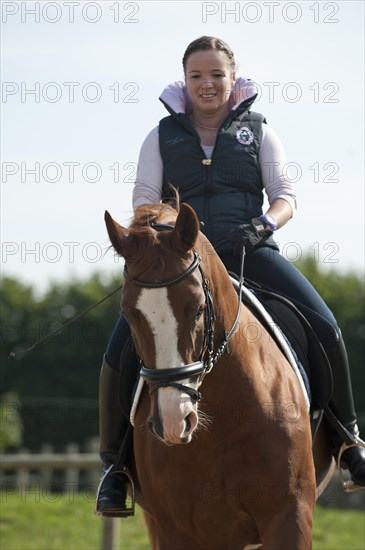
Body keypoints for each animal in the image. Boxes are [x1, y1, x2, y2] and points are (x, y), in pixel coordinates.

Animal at [104, 203, 332, 550]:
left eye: (198, 307)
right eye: (129, 314)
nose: (173, 421)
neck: (226, 416)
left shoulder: (289, 516)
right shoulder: (176, 530)